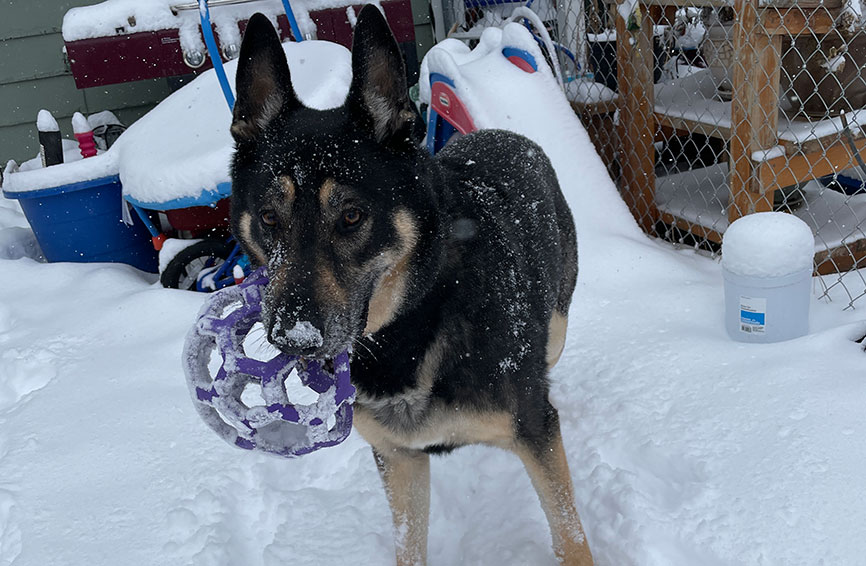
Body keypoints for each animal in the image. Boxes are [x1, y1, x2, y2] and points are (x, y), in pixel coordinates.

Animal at [230, 8, 592, 566]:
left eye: (352, 215)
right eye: (269, 218)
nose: (294, 338)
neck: (411, 325)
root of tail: (507, 135)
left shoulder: (534, 432)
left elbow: (570, 535)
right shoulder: (398, 459)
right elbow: (409, 542)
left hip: (557, 324)